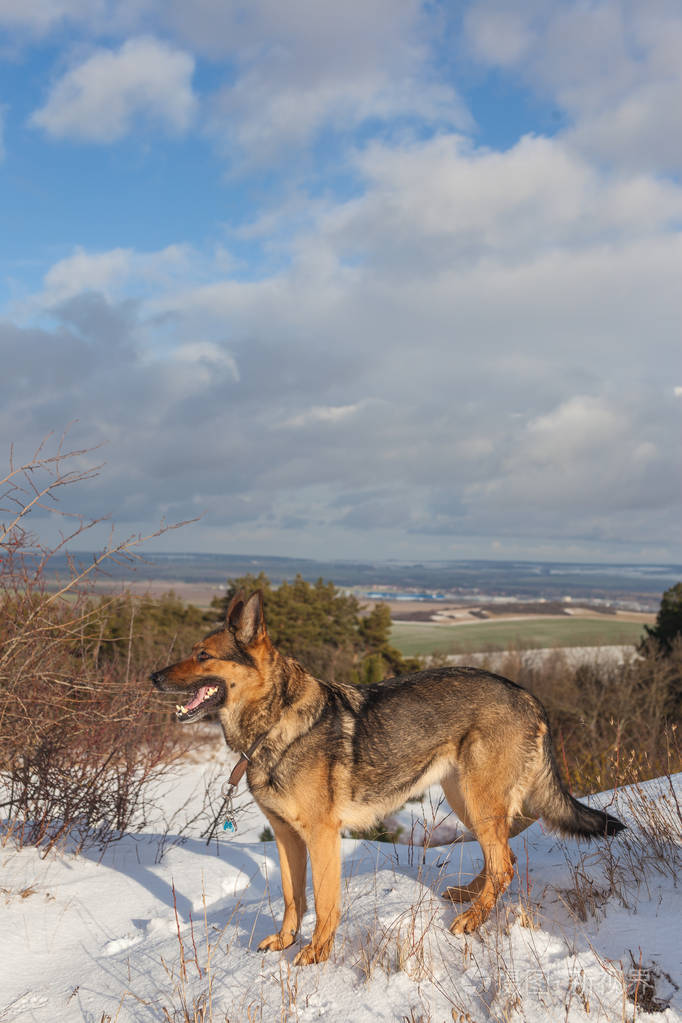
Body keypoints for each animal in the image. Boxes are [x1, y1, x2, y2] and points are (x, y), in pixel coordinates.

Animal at [152, 593, 625, 965]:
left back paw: (472, 919)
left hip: (478, 800)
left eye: (202, 656)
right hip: (467, 801)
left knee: (503, 863)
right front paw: (286, 941)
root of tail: (528, 695)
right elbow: (291, 896)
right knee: (503, 856)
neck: (275, 721)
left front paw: (316, 953)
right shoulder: (287, 837)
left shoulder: (322, 836)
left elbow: (324, 901)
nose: (152, 676)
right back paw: (469, 897)